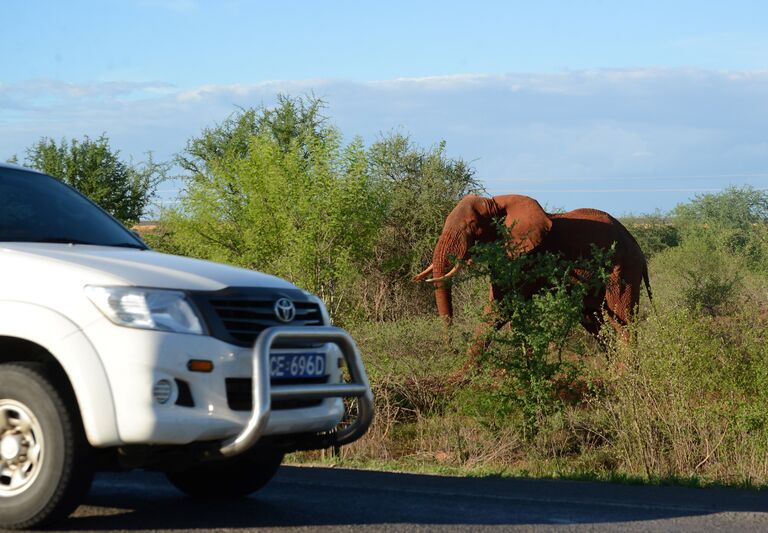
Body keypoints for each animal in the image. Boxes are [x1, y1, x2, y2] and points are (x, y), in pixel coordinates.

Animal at [412, 193, 652, 348]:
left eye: (472, 224)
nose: (451, 349)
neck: (497, 202)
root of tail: (639, 250)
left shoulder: (526, 256)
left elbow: (501, 308)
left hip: (623, 270)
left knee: (623, 323)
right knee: (595, 322)